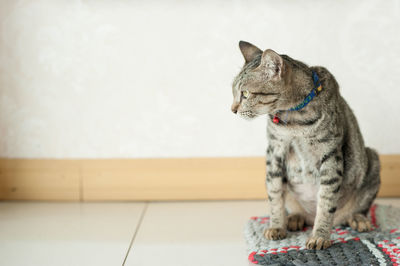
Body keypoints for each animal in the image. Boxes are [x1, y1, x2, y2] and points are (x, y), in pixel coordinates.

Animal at [230, 41, 380, 249]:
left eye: (245, 94)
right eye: (234, 92)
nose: (232, 109)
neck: (293, 119)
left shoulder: (330, 154)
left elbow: (326, 201)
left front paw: (320, 236)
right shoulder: (274, 152)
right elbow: (275, 195)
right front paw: (276, 226)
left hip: (372, 160)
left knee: (358, 209)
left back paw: (358, 219)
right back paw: (294, 218)